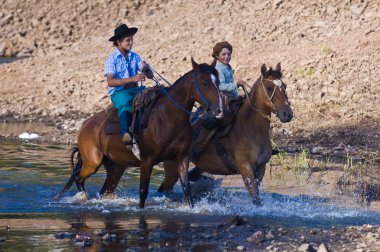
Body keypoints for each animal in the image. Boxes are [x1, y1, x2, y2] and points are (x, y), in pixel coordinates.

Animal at [56, 58, 223, 208]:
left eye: (218, 82)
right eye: (204, 83)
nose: (219, 110)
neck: (168, 118)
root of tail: (85, 125)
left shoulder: (181, 158)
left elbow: (187, 191)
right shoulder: (147, 160)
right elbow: (143, 192)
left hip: (116, 168)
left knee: (103, 190)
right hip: (93, 162)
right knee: (79, 179)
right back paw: (82, 198)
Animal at [157, 63, 294, 205]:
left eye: (285, 86)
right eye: (269, 88)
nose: (287, 114)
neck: (251, 129)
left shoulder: (261, 169)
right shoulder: (245, 168)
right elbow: (255, 199)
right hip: (172, 167)